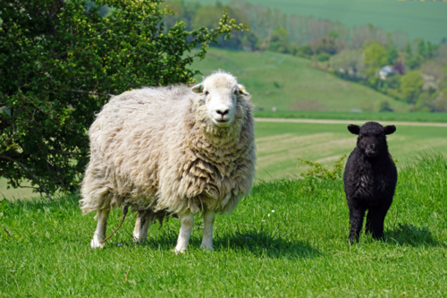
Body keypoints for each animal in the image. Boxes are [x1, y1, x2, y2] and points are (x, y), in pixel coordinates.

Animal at [79, 71, 258, 253]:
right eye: (206, 92)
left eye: (235, 92)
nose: (222, 111)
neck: (218, 157)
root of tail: (116, 98)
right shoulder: (183, 185)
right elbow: (187, 221)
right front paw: (181, 249)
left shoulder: (217, 188)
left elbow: (209, 220)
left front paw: (207, 248)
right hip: (103, 175)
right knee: (103, 212)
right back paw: (98, 242)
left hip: (144, 178)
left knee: (143, 212)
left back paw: (139, 239)